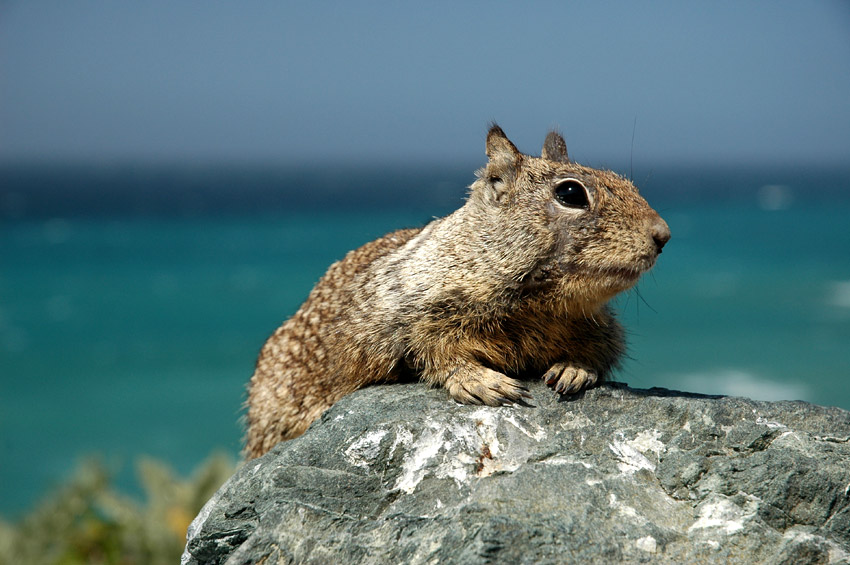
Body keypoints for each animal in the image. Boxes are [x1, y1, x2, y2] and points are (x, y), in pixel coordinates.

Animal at [243, 124, 668, 458]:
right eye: (570, 194)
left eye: (628, 182)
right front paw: (482, 382)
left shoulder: (599, 324)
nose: (663, 234)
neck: (539, 303)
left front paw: (573, 369)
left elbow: (601, 349)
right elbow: (431, 351)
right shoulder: (413, 315)